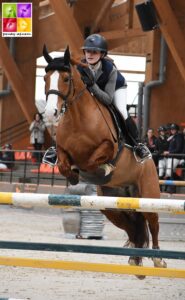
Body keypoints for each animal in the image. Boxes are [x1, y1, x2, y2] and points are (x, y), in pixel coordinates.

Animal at [43, 45, 166, 276]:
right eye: (45, 78)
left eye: (66, 78)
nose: (49, 114)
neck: (77, 119)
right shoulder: (63, 151)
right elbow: (63, 164)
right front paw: (74, 176)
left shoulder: (110, 146)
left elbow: (96, 158)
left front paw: (103, 168)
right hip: (112, 208)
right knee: (133, 228)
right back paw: (135, 260)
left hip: (148, 195)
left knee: (153, 224)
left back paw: (158, 260)